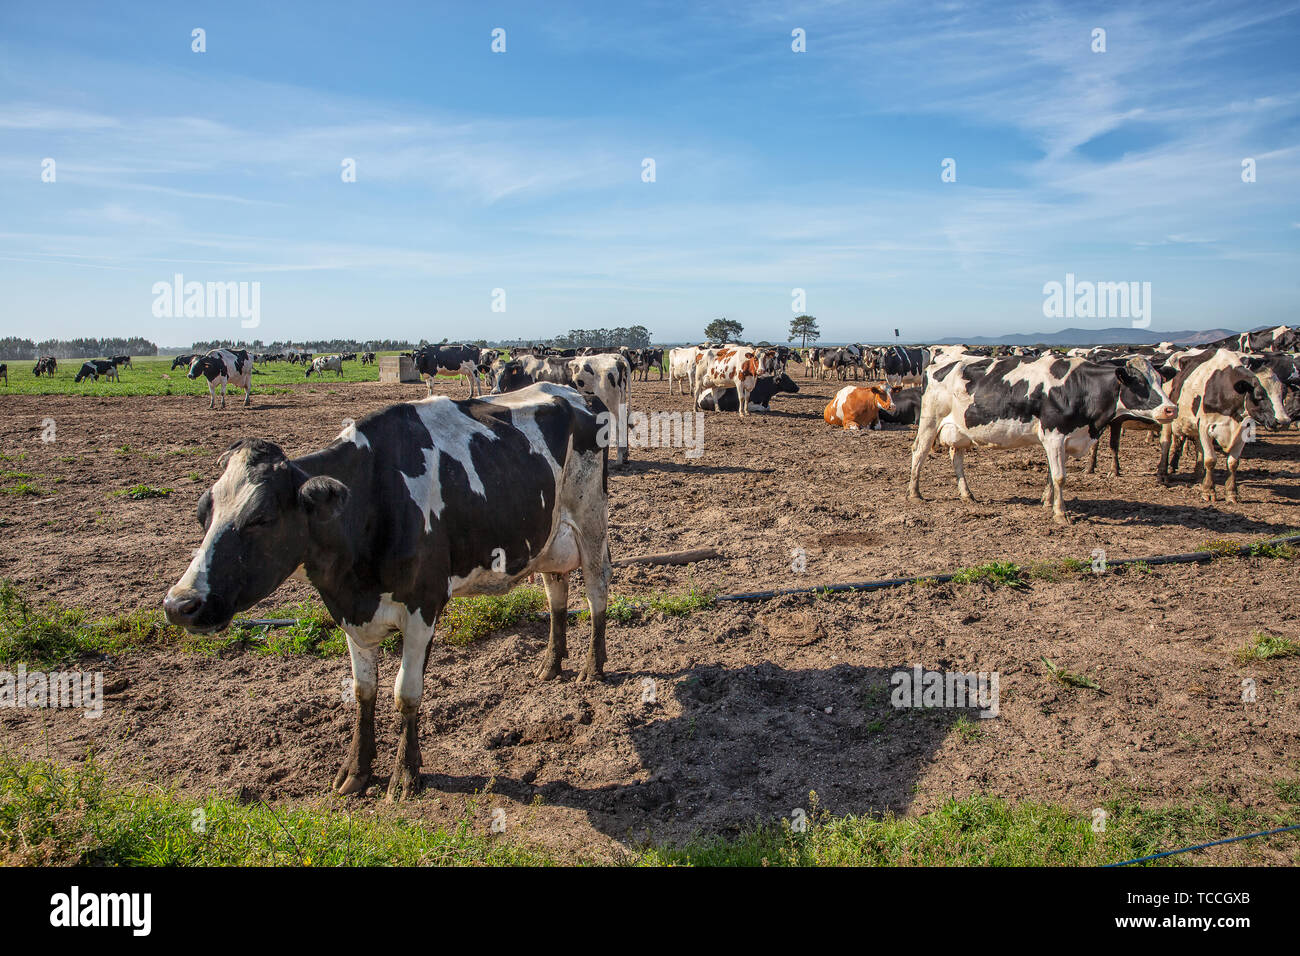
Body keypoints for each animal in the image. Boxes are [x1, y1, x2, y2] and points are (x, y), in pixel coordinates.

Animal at [163, 383, 612, 799]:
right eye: (203, 512)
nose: (180, 603)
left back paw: (592, 667)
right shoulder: (350, 611)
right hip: (548, 537)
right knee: (556, 594)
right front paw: (356, 770)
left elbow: (405, 694)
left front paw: (405, 774)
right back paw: (550, 664)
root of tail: (575, 392)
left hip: (590, 520)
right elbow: (364, 692)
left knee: (596, 592)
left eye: (261, 518)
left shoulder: (423, 606)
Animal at [908, 354, 1176, 524]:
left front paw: (1047, 501)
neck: (1079, 387)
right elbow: (1059, 476)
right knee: (919, 452)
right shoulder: (1054, 434)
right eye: (1138, 382)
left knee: (957, 457)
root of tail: (937, 364)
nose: (1171, 409)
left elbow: (1050, 474)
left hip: (961, 429)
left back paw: (967, 494)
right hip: (930, 420)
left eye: (1160, 380)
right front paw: (1060, 514)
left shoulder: (1060, 439)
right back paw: (915, 492)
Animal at [1158, 350, 1290, 502]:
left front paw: (1231, 492)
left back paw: (1198, 475)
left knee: (1198, 447)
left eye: (1283, 394)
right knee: (1166, 443)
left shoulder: (1243, 430)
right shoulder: (1205, 426)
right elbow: (1210, 460)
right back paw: (1163, 474)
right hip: (1167, 418)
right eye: (1259, 395)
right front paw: (1209, 490)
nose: (1284, 422)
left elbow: (1233, 463)